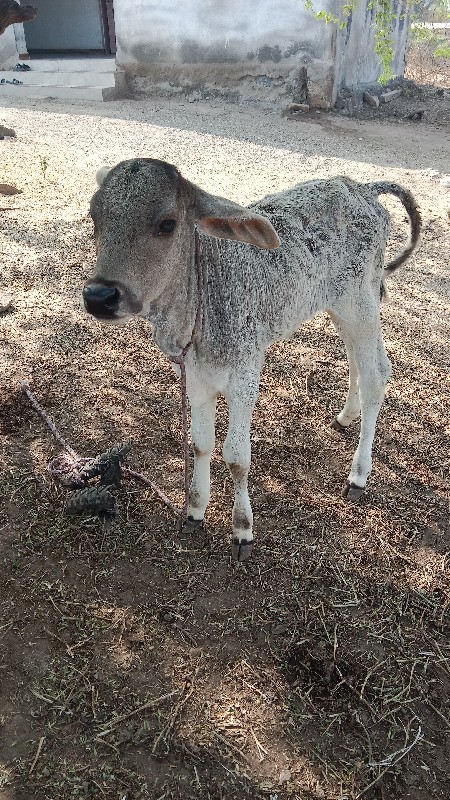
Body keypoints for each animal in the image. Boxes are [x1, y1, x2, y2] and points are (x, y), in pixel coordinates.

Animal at [82, 159, 420, 560]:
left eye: (167, 223)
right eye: (94, 216)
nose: (99, 296)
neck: (201, 300)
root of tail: (363, 188)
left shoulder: (245, 375)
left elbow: (236, 457)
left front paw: (242, 529)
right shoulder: (196, 376)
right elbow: (201, 443)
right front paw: (194, 510)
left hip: (362, 300)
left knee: (377, 373)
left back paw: (358, 474)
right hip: (337, 305)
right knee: (353, 354)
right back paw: (346, 414)